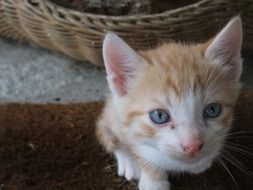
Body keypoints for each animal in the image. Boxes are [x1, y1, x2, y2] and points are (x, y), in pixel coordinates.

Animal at [96, 16, 242, 190]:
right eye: (159, 116)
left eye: (212, 110)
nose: (192, 146)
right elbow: (139, 148)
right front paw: (153, 180)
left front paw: (204, 160)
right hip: (112, 111)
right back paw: (128, 162)